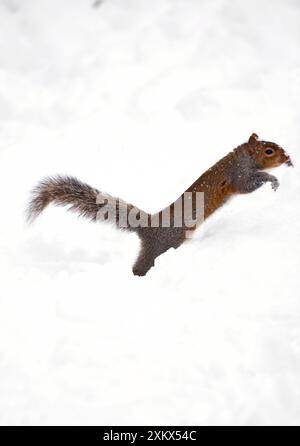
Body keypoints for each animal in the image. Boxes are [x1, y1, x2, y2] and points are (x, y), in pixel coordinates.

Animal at [27, 133, 292, 276]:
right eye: (269, 151)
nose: (288, 158)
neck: (242, 157)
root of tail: (149, 227)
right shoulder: (238, 176)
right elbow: (248, 185)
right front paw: (273, 179)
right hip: (165, 245)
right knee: (143, 265)